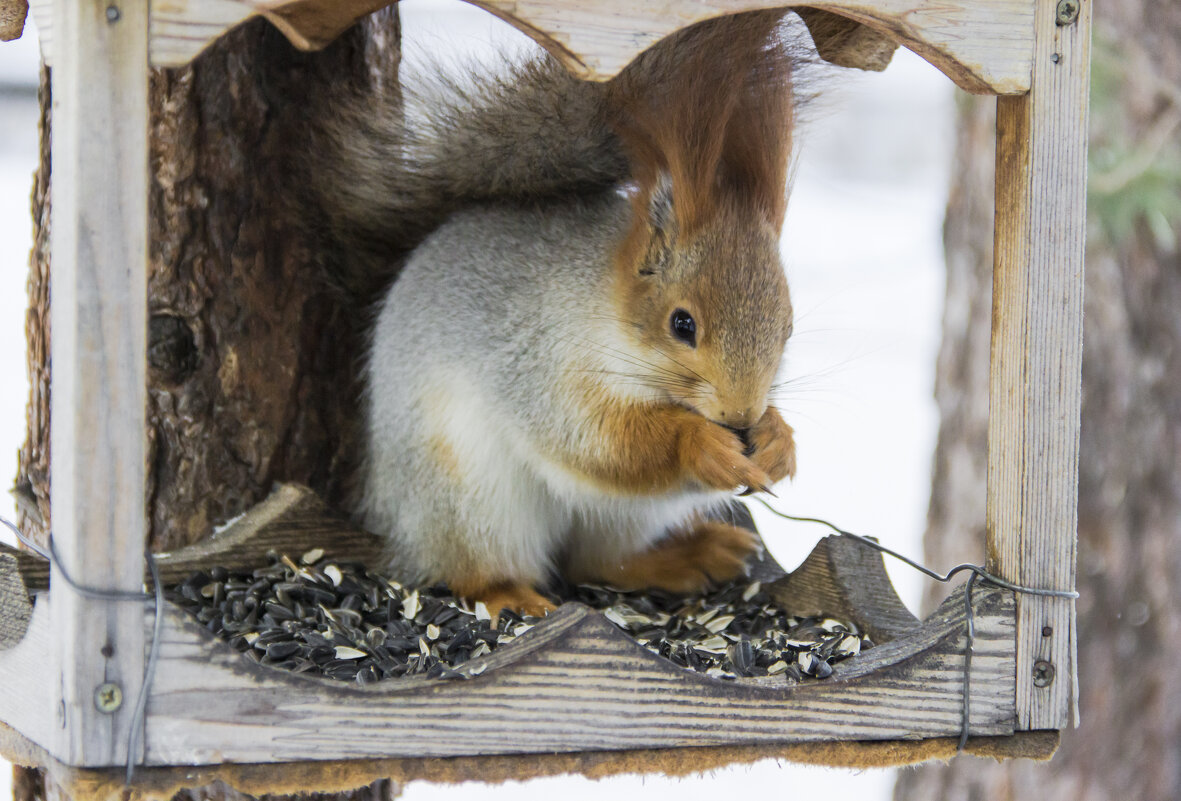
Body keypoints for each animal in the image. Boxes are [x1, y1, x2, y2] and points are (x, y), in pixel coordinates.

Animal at [316, 9, 803, 619]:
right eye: (681, 324)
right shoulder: (538, 360)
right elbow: (596, 441)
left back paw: (690, 556)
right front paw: (701, 443)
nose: (740, 416)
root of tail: (385, 505)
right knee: (476, 571)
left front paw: (779, 439)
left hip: (624, 518)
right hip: (470, 500)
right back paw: (513, 597)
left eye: (788, 328)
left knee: (600, 562)